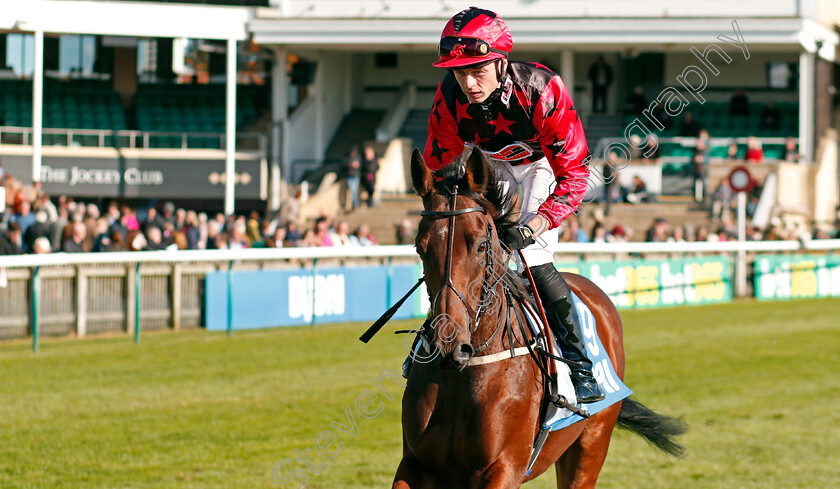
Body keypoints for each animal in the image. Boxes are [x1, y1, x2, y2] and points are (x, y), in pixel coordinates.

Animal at [394, 147, 684, 488]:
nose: (448, 344)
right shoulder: (415, 464)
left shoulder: (505, 467)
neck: (467, 370)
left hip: (591, 443)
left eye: (481, 245)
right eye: (420, 247)